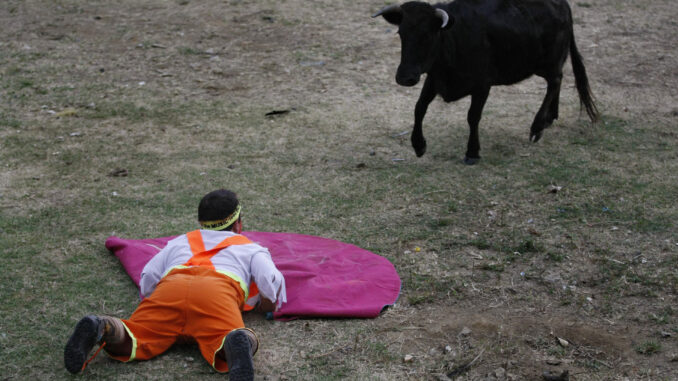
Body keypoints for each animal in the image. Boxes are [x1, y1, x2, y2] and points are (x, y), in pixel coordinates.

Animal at [378, 0, 600, 163]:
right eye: (401, 33)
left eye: (427, 35)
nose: (404, 77)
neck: (454, 38)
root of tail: (563, 5)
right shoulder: (434, 78)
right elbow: (419, 107)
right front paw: (418, 145)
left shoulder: (482, 85)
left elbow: (473, 116)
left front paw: (472, 152)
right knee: (557, 82)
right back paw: (550, 117)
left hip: (549, 62)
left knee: (555, 81)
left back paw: (537, 126)